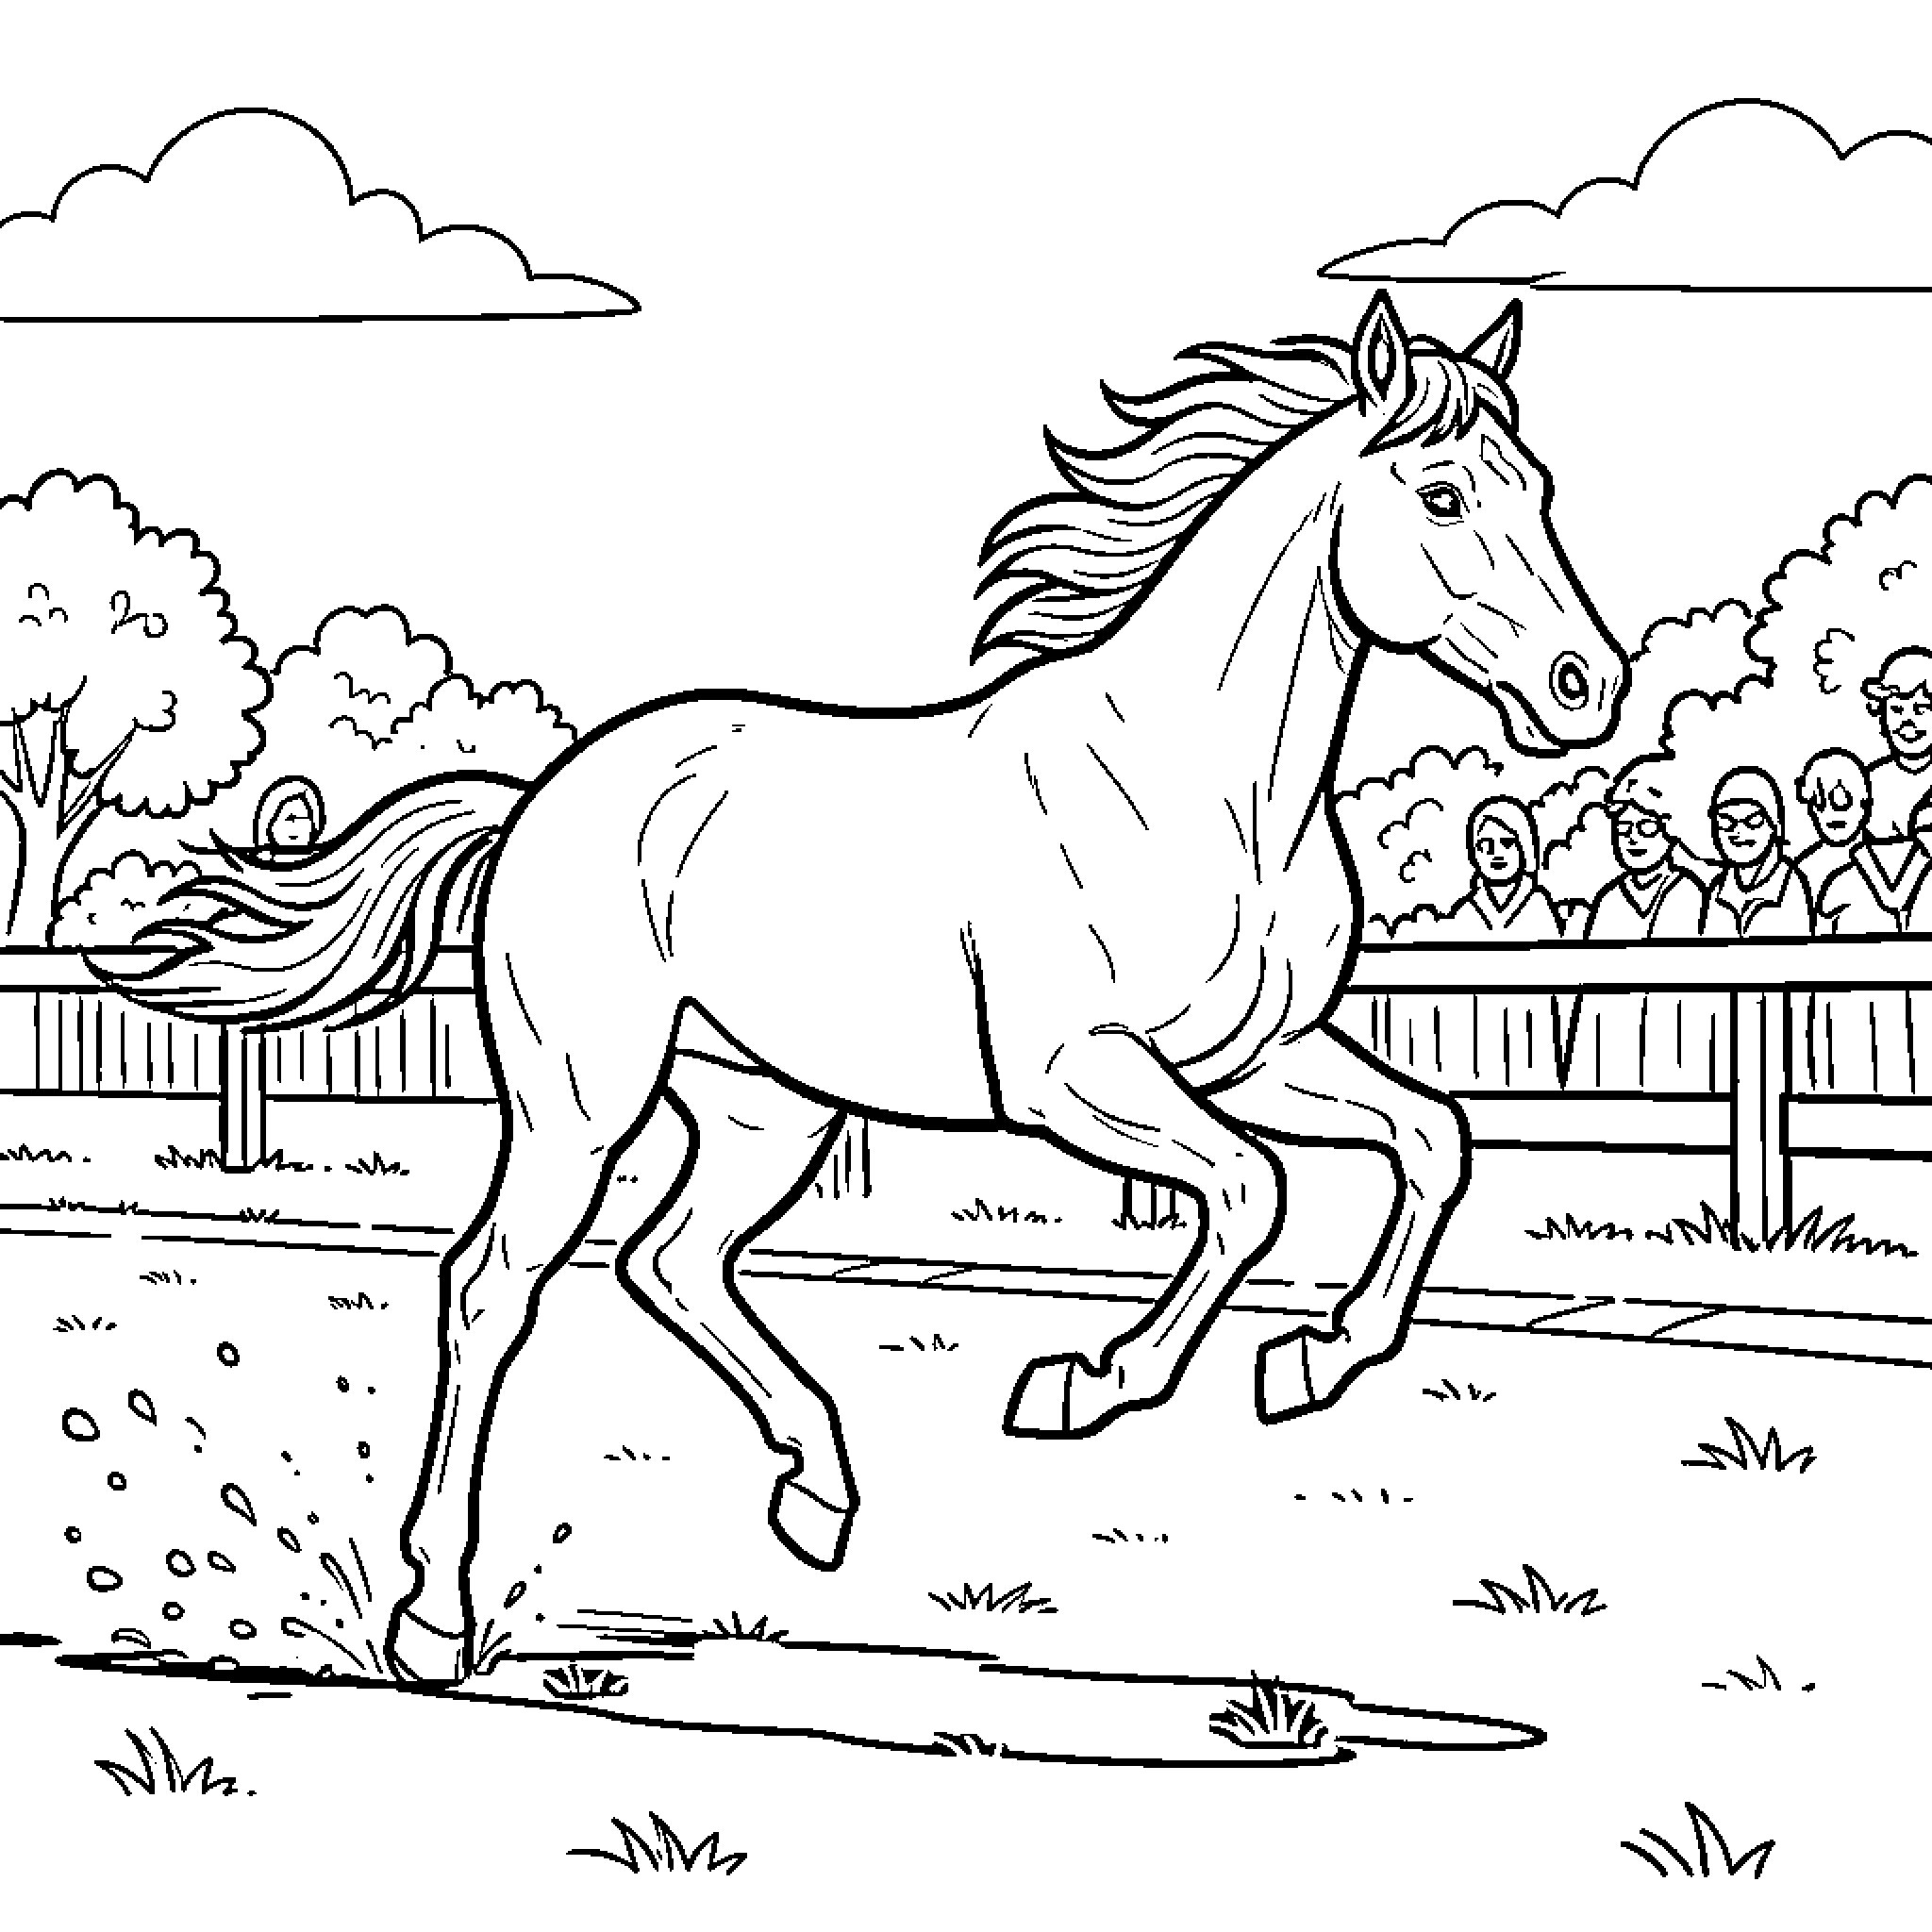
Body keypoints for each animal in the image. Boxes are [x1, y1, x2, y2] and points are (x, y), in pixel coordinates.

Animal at [105, 292, 1628, 1681]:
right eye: (1440, 494)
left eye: (1542, 490)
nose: (1585, 685)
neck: (1203, 784)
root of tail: (545, 794)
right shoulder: (1080, 1075)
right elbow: (1252, 1190)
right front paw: (1082, 1384)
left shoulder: (1260, 1052)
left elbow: (1432, 1137)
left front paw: (1314, 1358)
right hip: (577, 1105)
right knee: (494, 1286)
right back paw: (437, 1621)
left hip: (763, 1108)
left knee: (675, 1260)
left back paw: (819, 1493)